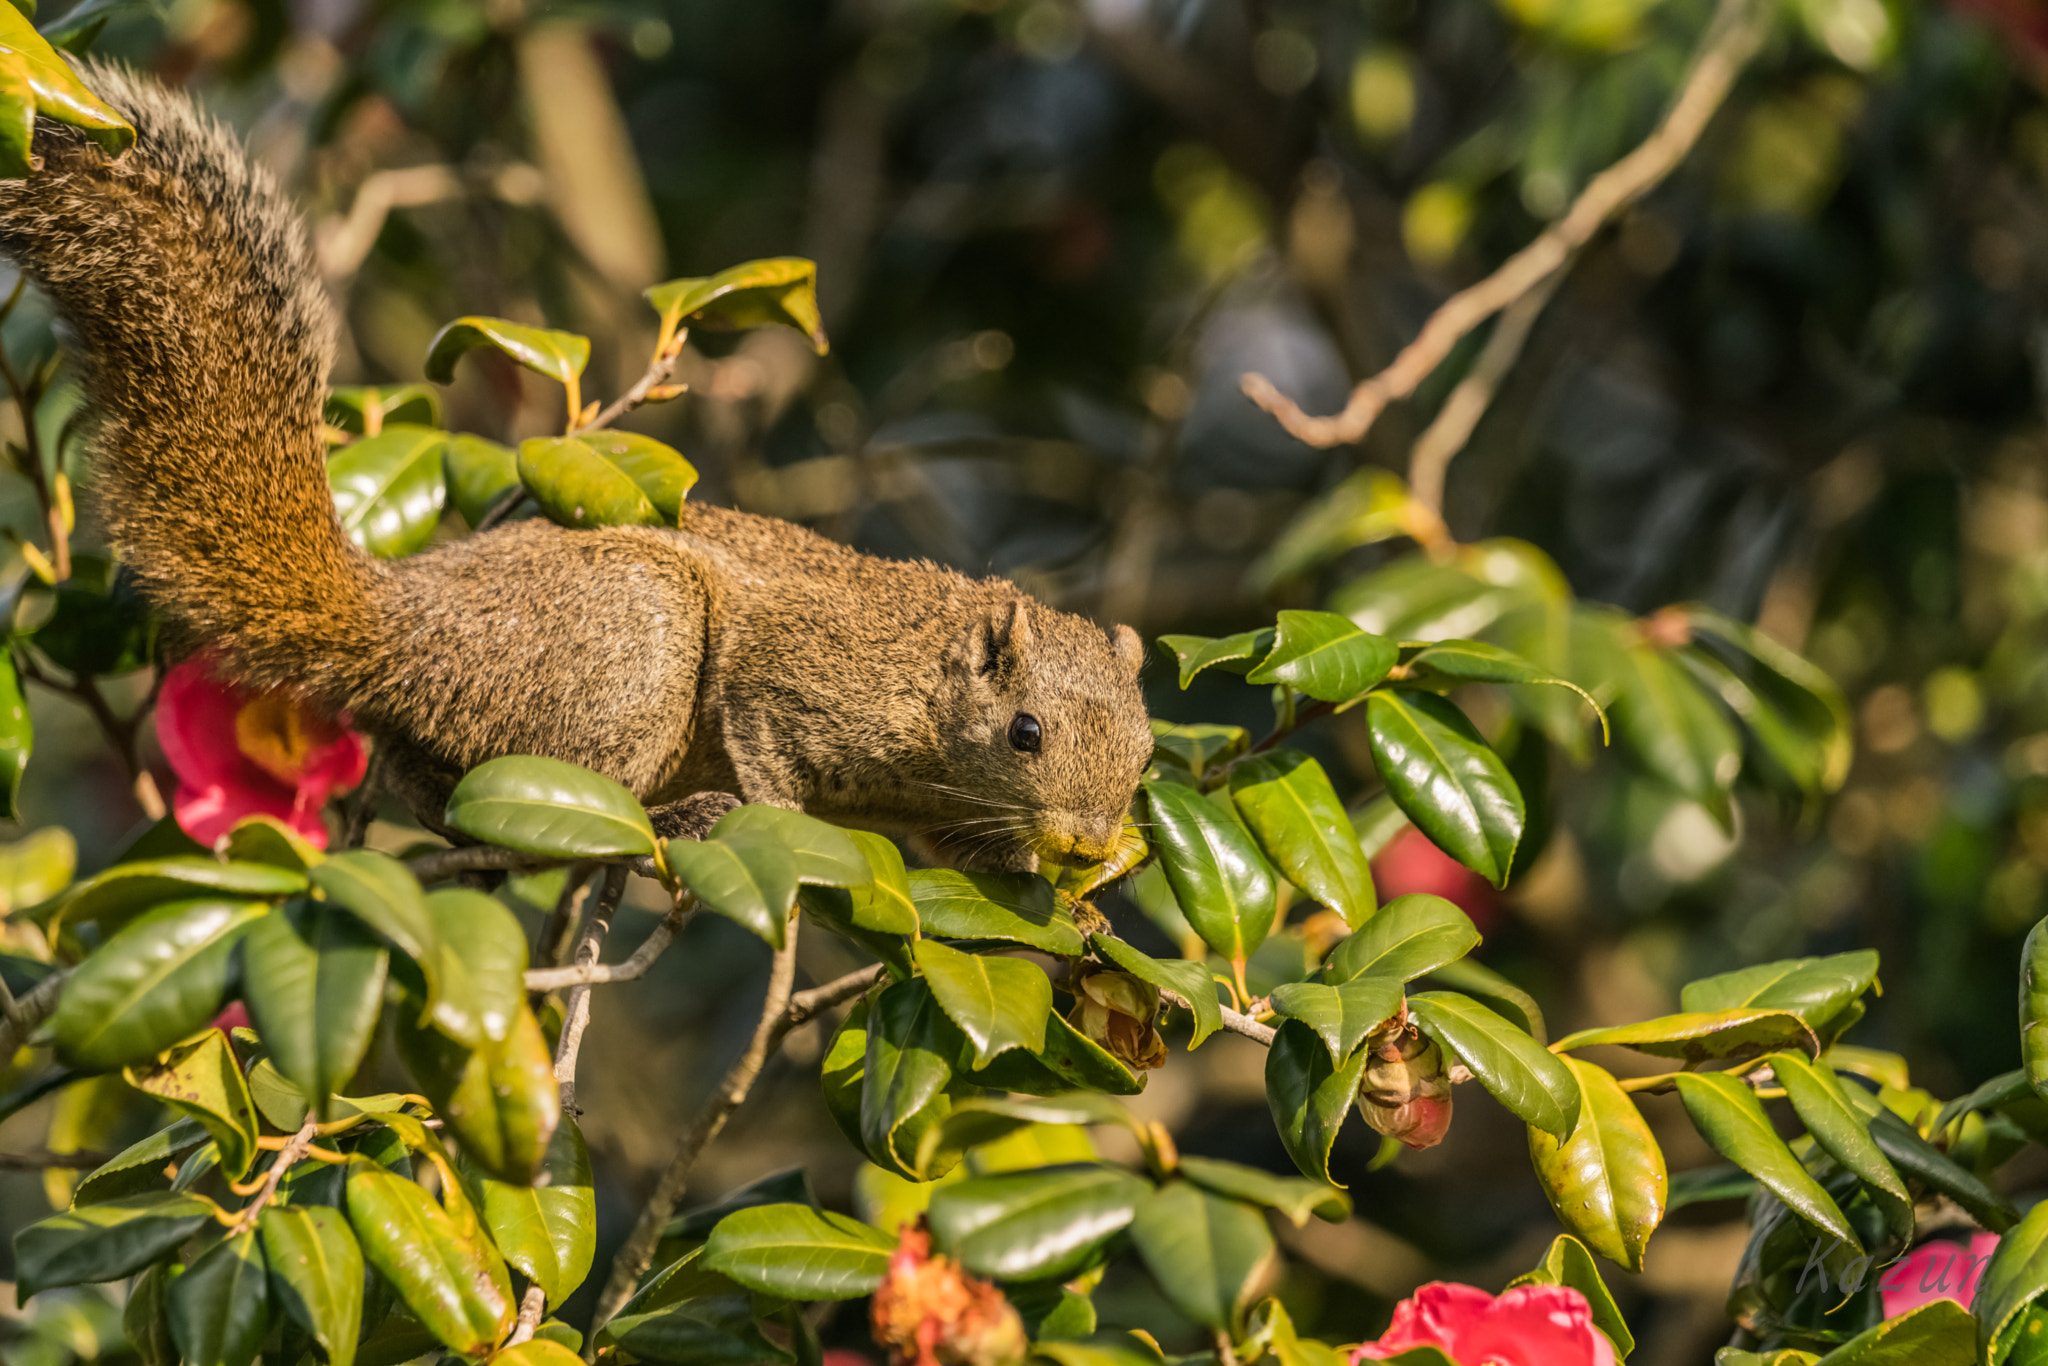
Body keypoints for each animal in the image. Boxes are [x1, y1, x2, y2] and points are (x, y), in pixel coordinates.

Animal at [0, 61, 1155, 864]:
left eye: (1147, 755)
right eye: (1024, 732)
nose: (1092, 841)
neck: (925, 684)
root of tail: (398, 626)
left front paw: (1076, 902)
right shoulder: (798, 678)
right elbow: (767, 737)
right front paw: (787, 828)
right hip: (637, 644)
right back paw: (675, 817)